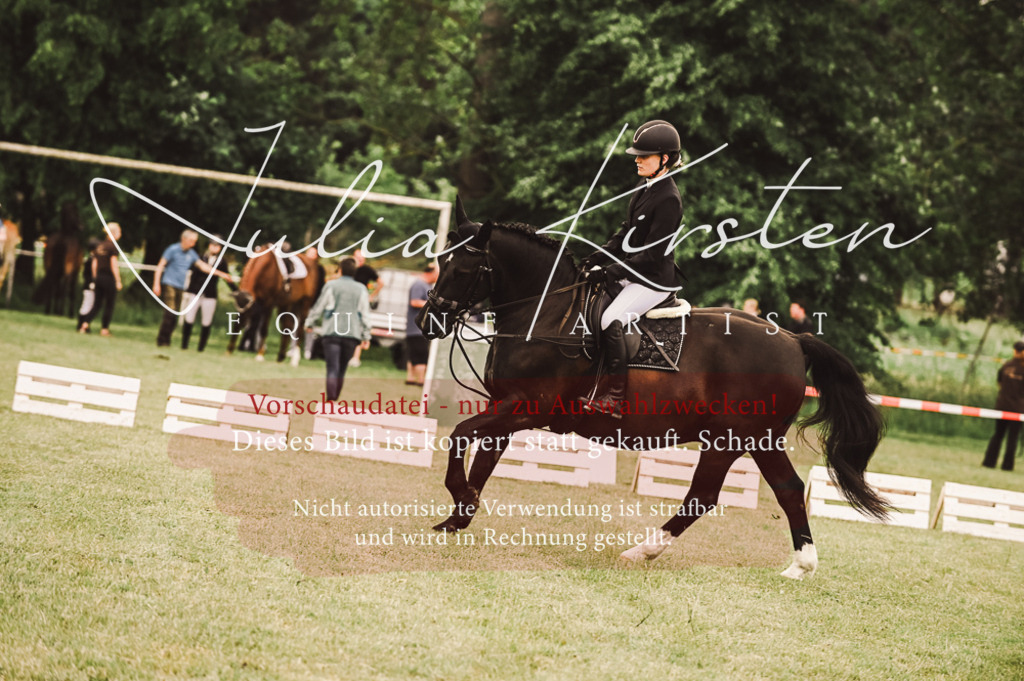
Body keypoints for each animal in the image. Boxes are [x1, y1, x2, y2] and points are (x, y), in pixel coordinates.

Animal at [415, 197, 888, 579]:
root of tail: (793, 339)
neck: (547, 311)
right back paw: (800, 566)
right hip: (760, 439)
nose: (428, 321)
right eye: (440, 260)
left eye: (464, 268)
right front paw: (459, 517)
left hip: (729, 439)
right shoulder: (506, 406)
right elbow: (483, 458)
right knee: (788, 489)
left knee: (702, 496)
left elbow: (459, 436)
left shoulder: (528, 407)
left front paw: (461, 497)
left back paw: (641, 551)